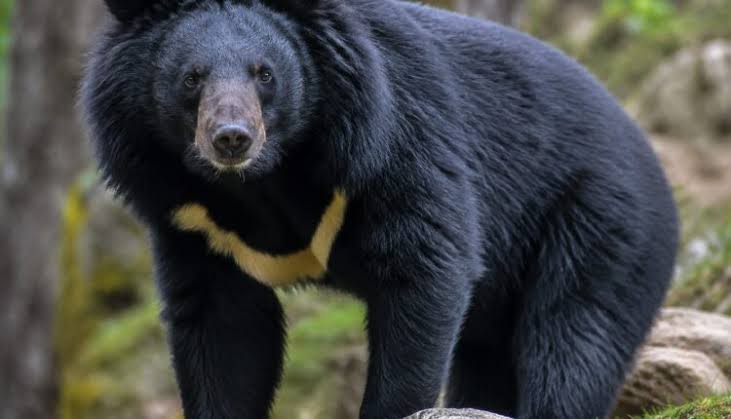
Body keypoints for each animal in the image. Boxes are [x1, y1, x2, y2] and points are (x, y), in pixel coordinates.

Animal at [81, 1, 679, 418]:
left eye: (264, 73)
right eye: (192, 78)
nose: (231, 138)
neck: (263, 178)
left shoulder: (393, 146)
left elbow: (423, 274)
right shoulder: (190, 217)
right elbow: (223, 330)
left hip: (599, 227)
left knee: (571, 344)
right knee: (491, 356)